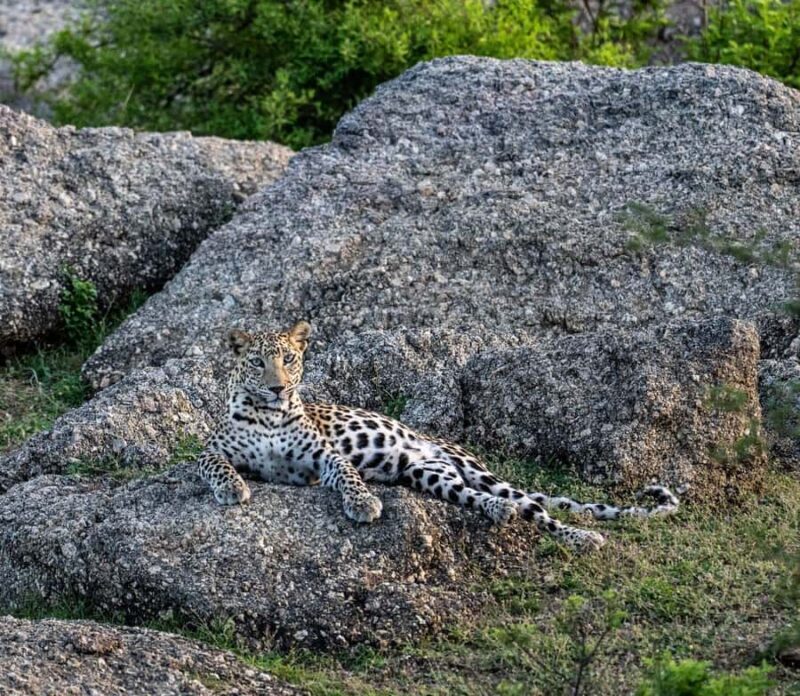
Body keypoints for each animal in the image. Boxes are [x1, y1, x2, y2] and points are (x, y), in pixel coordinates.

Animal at [198, 321, 679, 551]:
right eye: (258, 362)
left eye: (290, 359)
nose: (279, 387)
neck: (270, 416)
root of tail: (430, 446)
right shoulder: (210, 451)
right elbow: (217, 465)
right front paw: (234, 489)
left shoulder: (326, 457)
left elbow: (349, 476)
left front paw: (364, 503)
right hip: (426, 475)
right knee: (475, 498)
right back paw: (498, 511)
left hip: (476, 470)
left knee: (540, 512)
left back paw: (580, 538)